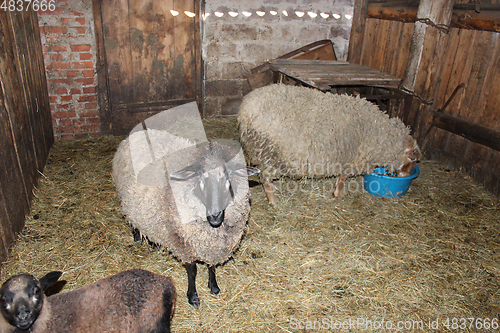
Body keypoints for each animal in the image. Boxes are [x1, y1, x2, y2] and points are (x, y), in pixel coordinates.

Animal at [239, 84, 422, 204]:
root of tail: (244, 111)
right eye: (412, 158)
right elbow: (343, 177)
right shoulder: (354, 158)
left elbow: (341, 176)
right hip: (268, 150)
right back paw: (273, 201)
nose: (407, 176)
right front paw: (338, 194)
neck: (382, 135)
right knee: (265, 178)